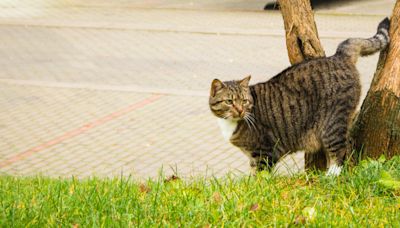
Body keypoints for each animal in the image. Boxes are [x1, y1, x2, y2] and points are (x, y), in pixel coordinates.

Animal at [208, 17, 390, 175]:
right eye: (229, 101)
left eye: (244, 101)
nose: (240, 110)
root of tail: (338, 56)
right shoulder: (254, 157)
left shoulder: (265, 152)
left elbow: (260, 176)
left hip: (332, 123)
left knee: (340, 150)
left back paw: (331, 175)